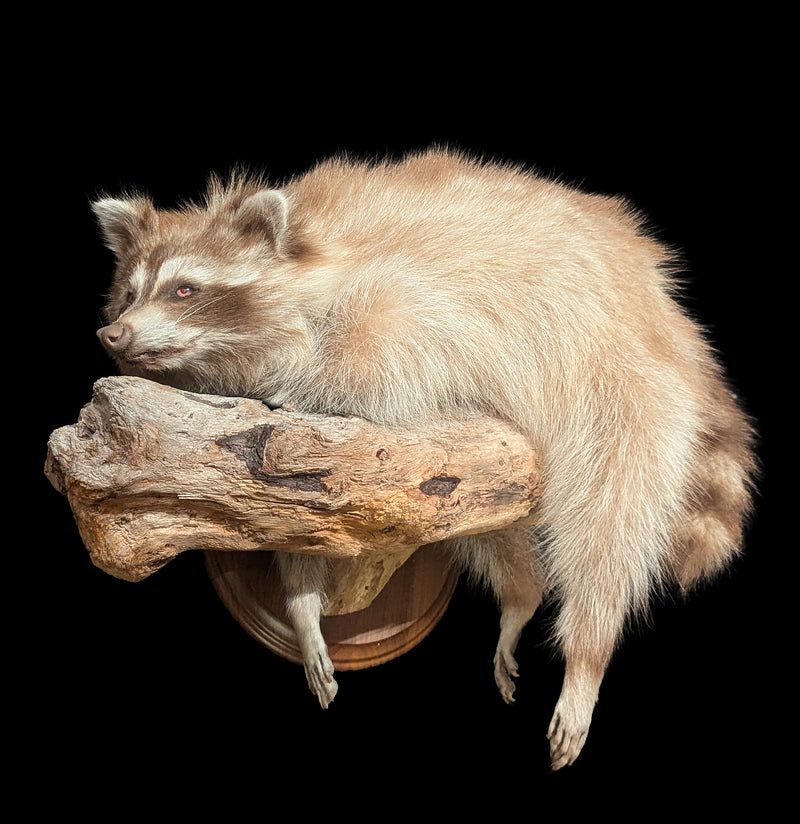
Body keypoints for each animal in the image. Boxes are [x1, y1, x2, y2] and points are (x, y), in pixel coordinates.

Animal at [93, 149, 756, 769]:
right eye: (128, 292)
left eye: (185, 289)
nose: (113, 335)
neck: (311, 264)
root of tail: (666, 313)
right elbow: (295, 509)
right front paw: (302, 602)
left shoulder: (401, 311)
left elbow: (369, 390)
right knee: (486, 518)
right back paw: (521, 592)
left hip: (619, 385)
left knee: (610, 520)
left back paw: (587, 653)